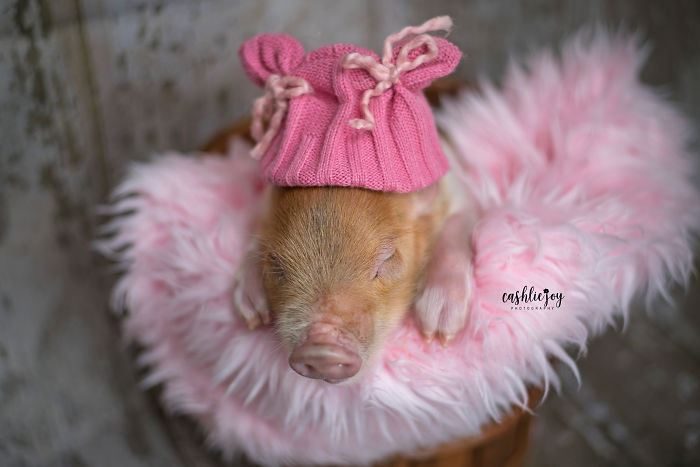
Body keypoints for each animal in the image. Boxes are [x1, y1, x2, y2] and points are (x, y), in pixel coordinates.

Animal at [232, 172, 476, 384]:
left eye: (388, 258)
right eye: (276, 264)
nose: (320, 349)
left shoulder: (460, 193)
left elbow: (457, 227)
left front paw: (438, 334)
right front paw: (253, 317)